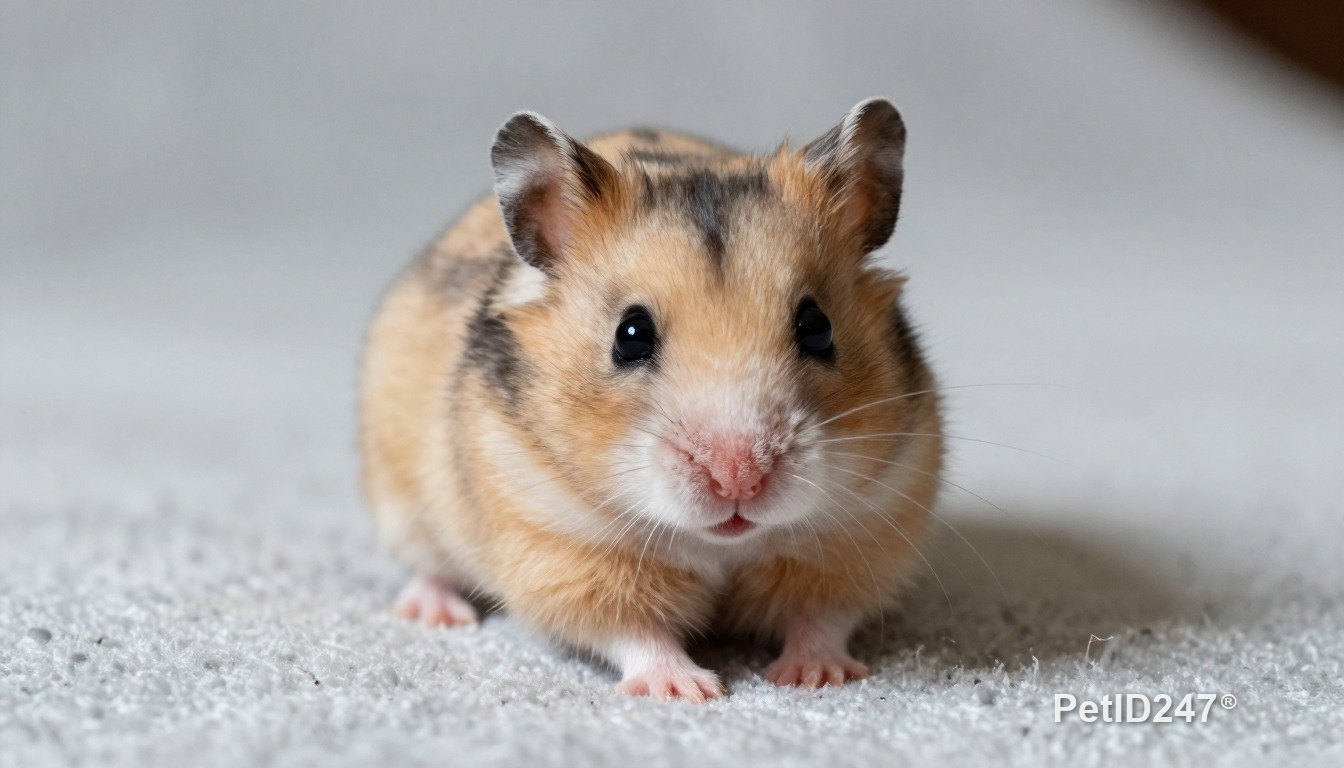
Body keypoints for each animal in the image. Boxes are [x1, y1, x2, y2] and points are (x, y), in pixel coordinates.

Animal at [359, 98, 943, 701]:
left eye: (817, 328)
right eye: (631, 335)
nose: (738, 480)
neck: (721, 547)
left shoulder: (865, 530)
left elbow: (820, 618)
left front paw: (815, 678)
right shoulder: (558, 543)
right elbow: (635, 629)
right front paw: (689, 691)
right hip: (404, 505)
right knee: (427, 566)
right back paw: (437, 615)